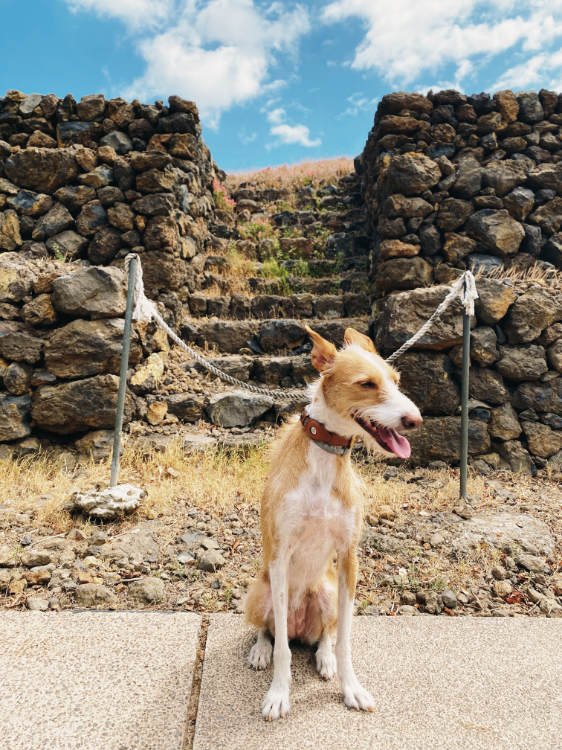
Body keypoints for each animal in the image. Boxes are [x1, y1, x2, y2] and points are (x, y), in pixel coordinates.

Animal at [245, 328, 420, 724]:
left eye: (396, 381)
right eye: (367, 383)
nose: (415, 420)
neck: (324, 460)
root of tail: (300, 628)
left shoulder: (348, 557)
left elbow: (345, 642)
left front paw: (350, 687)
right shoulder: (280, 557)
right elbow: (282, 651)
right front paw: (278, 694)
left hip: (325, 592)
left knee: (324, 633)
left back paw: (323, 658)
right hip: (259, 592)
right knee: (270, 632)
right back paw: (261, 650)